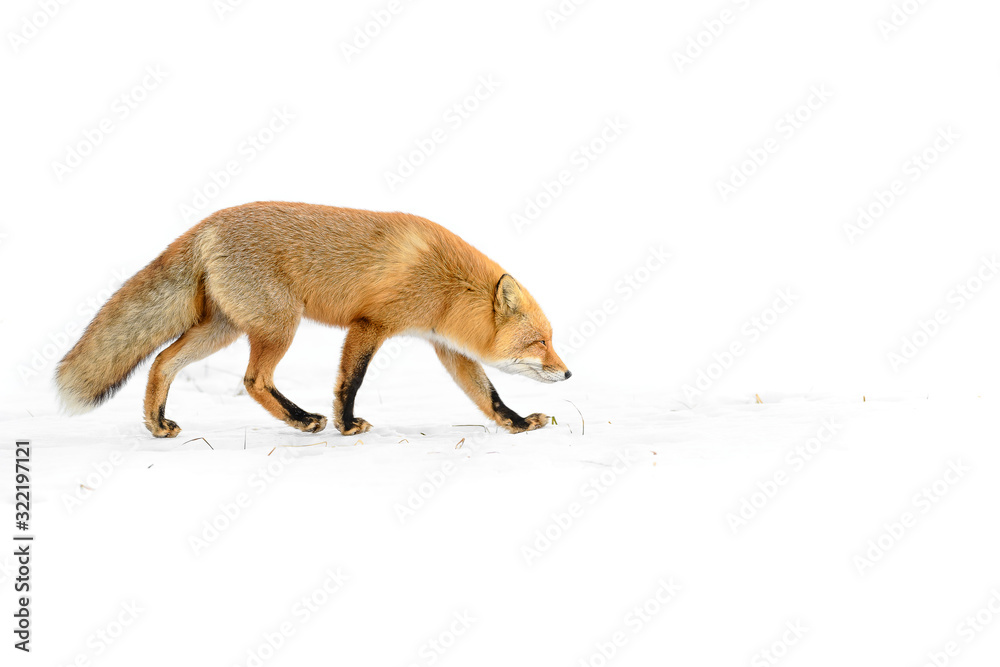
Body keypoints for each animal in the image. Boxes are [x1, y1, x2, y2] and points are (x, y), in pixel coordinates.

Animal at [55, 202, 571, 437]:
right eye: (539, 343)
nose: (568, 373)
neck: (447, 284)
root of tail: (206, 225)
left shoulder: (445, 346)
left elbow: (487, 394)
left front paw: (517, 424)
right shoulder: (370, 324)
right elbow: (351, 381)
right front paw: (347, 424)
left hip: (223, 329)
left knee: (163, 361)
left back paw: (157, 424)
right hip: (281, 324)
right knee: (254, 380)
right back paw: (303, 420)